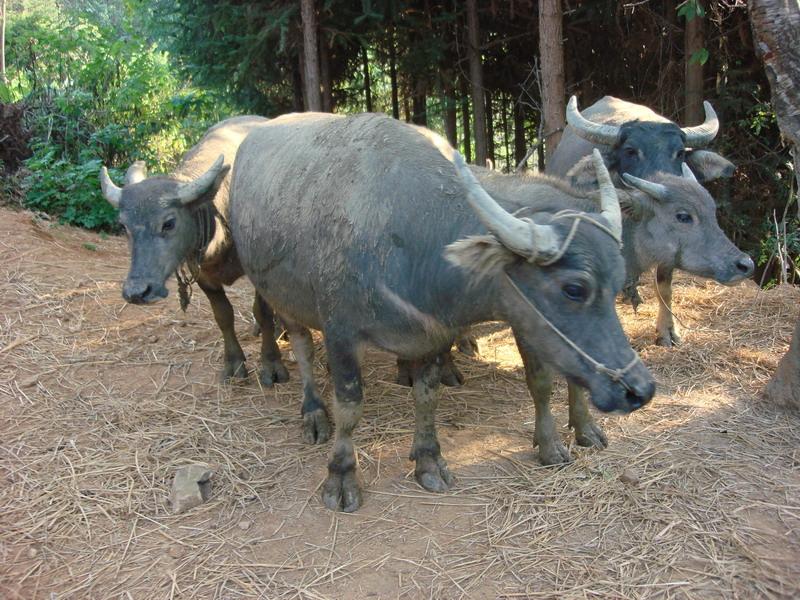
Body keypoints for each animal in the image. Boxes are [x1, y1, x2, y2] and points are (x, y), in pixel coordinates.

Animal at [97, 115, 290, 390]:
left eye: (169, 223)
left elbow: (262, 312)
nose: (137, 292)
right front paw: (234, 364)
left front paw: (272, 365)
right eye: (124, 226)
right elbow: (223, 316)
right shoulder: (202, 276)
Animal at [228, 112, 652, 510]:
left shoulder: (432, 336)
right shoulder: (340, 332)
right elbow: (350, 407)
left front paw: (429, 460)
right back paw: (313, 412)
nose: (640, 390)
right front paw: (342, 477)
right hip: (281, 296)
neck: (410, 237)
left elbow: (427, 396)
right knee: (301, 348)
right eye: (574, 288)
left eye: (616, 281)